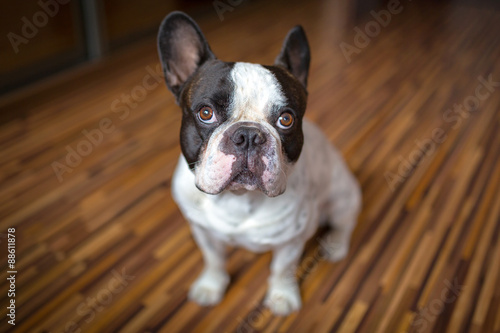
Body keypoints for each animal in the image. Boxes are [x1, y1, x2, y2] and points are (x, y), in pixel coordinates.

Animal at [158, 11, 362, 316]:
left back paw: (335, 244)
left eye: (286, 119)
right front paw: (211, 286)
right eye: (205, 113)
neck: (238, 199)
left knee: (345, 222)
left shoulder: (291, 242)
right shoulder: (203, 232)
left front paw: (282, 296)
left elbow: (282, 269)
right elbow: (214, 260)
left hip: (341, 198)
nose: (248, 135)